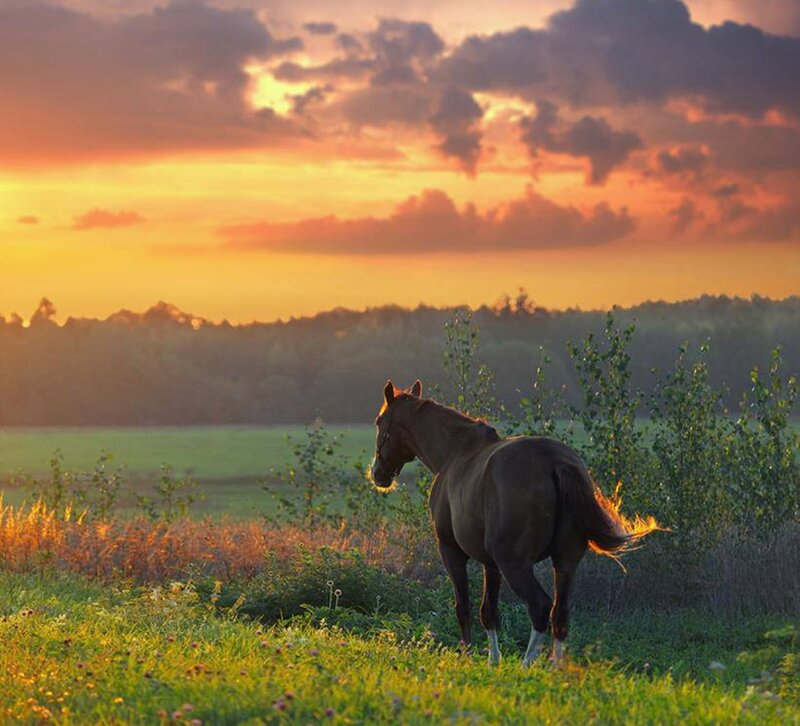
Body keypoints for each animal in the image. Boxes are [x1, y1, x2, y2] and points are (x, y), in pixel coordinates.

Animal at [369, 379, 659, 665]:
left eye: (379, 421)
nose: (377, 473)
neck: (455, 453)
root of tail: (555, 462)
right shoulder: (490, 563)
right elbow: (489, 612)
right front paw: (493, 662)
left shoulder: (451, 550)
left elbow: (464, 608)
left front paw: (469, 656)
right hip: (565, 562)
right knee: (560, 614)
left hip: (515, 564)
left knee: (540, 607)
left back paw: (527, 665)